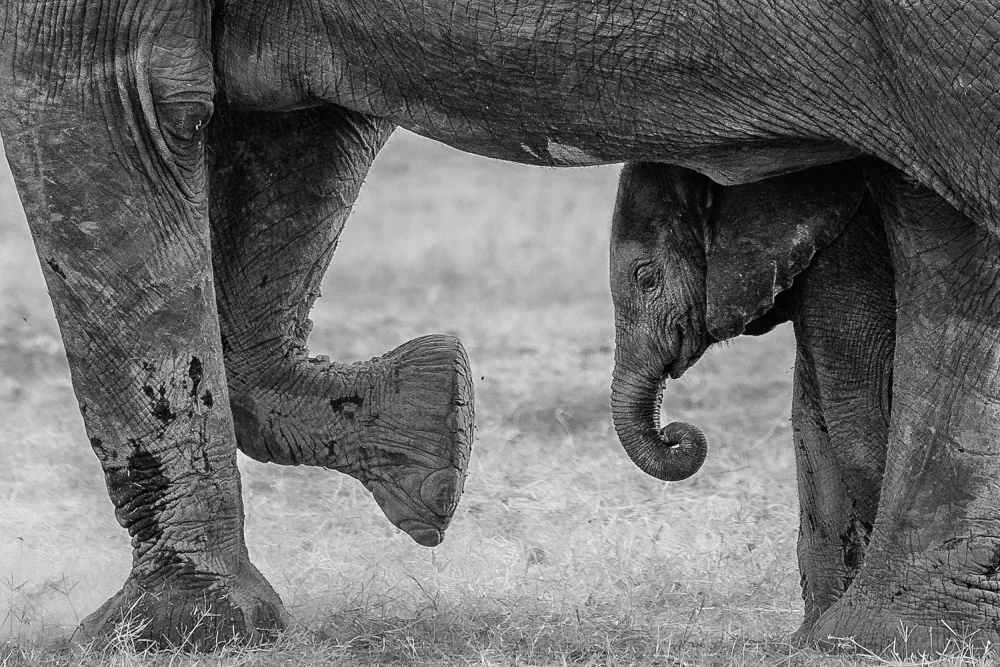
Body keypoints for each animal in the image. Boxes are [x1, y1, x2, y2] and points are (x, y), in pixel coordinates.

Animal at [608, 157, 1000, 654]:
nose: (673, 433)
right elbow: (813, 409)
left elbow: (854, 409)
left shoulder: (840, 254)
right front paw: (810, 637)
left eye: (646, 278)